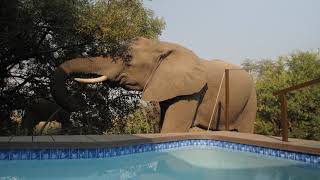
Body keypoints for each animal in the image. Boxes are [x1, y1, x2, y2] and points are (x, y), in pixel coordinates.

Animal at [50, 37, 256, 133]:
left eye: (128, 58)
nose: (77, 103)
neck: (162, 46)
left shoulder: (192, 92)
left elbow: (172, 129)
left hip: (251, 101)